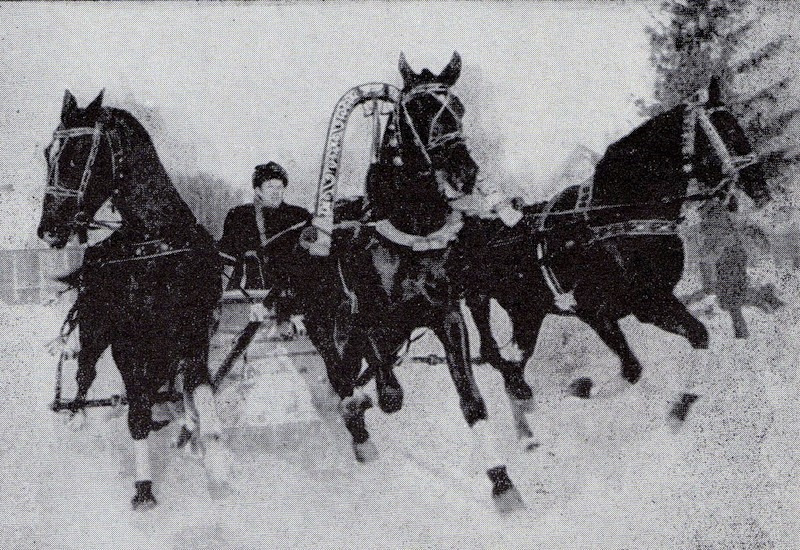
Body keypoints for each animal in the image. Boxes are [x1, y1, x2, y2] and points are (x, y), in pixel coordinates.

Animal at [37, 89, 228, 508]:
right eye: (47, 153)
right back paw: (77, 414)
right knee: (86, 371)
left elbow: (201, 393)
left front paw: (212, 455)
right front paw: (144, 489)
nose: (49, 230)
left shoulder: (193, 336)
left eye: (78, 154)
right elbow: (136, 409)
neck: (156, 245)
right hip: (95, 328)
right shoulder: (130, 344)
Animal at [290, 51, 528, 512]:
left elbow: (471, 400)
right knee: (340, 375)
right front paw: (373, 401)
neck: (409, 233)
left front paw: (503, 484)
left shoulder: (446, 314)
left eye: (458, 108)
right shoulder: (367, 316)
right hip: (322, 325)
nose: (463, 171)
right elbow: (388, 393)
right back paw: (358, 429)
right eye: (416, 108)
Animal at [466, 77, 772, 422]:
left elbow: (697, 336)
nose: (760, 188)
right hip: (483, 299)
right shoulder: (604, 312)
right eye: (728, 132)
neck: (616, 218)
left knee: (515, 365)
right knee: (494, 352)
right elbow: (631, 370)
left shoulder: (652, 302)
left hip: (527, 314)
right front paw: (583, 389)